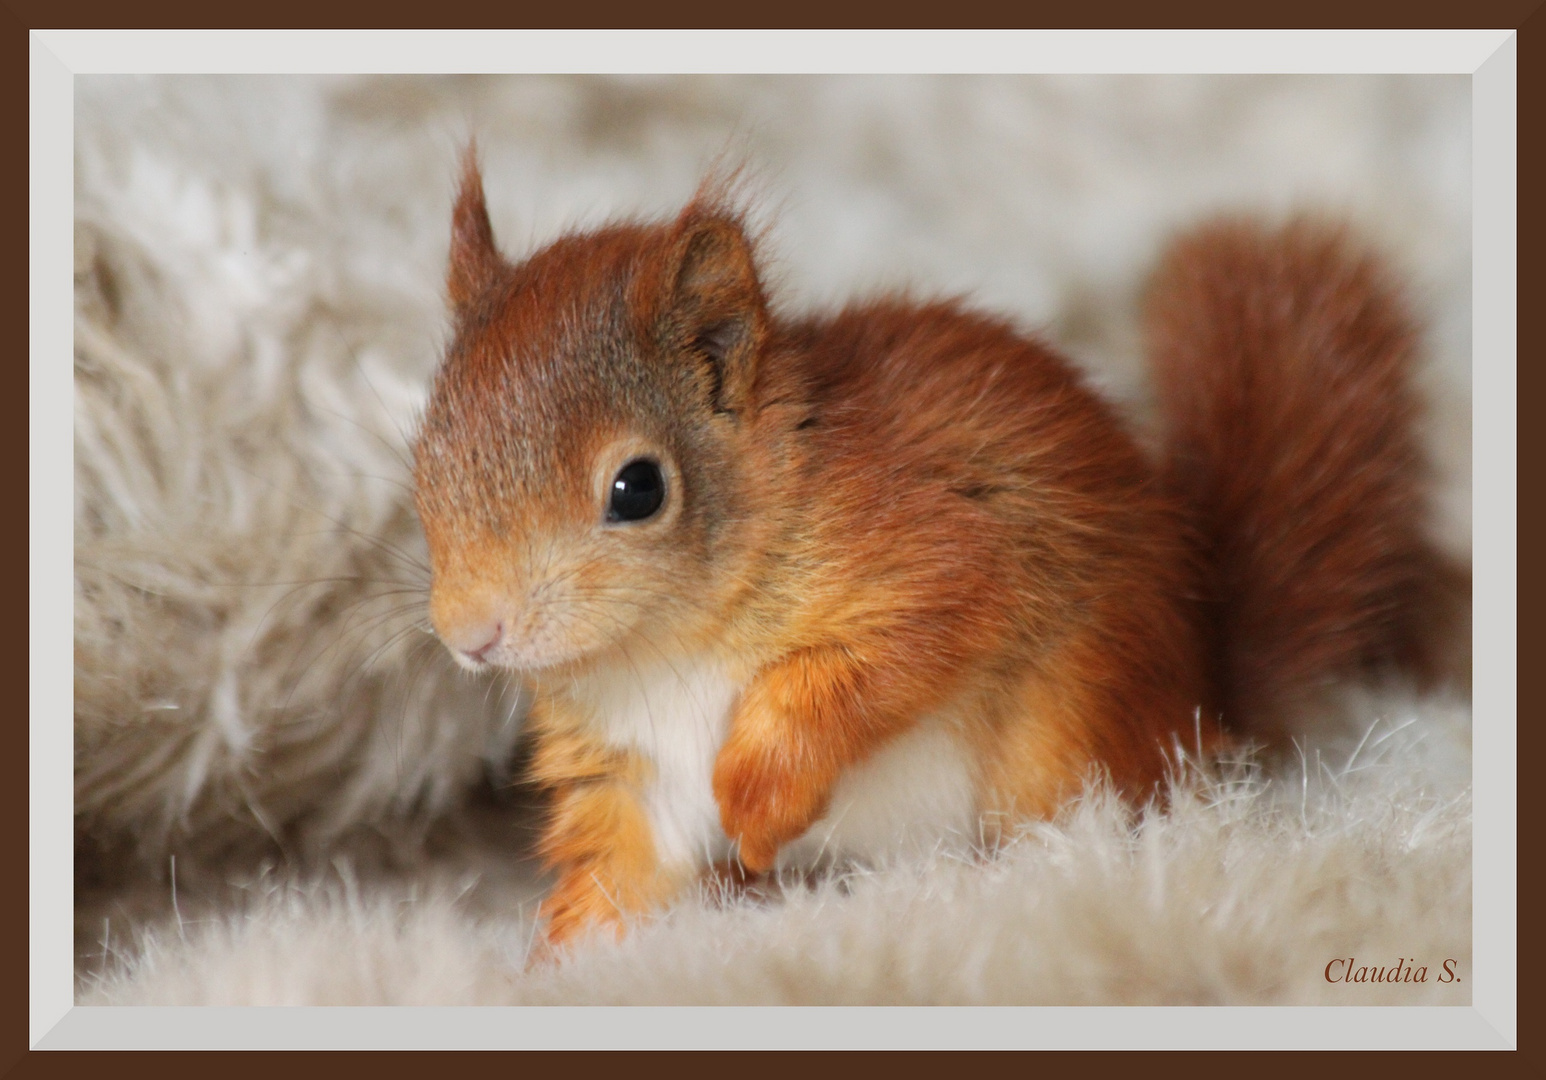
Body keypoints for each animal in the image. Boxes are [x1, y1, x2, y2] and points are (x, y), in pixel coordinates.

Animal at [411, 149, 1447, 945]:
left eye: (638, 488)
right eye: (422, 455)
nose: (470, 637)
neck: (665, 646)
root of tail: (1206, 702)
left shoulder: (938, 555)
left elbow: (859, 672)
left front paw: (757, 800)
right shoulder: (627, 756)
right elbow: (626, 857)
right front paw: (566, 953)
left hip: (1067, 732)